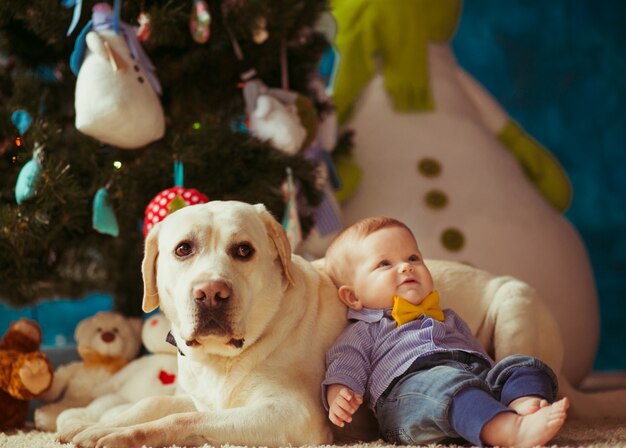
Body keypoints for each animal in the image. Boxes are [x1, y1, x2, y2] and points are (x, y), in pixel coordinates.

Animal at [70, 201, 348, 446]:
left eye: (244, 250)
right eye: (183, 249)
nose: (212, 294)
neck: (218, 360)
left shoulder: (294, 414)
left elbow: (181, 419)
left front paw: (121, 436)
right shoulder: (198, 398)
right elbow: (153, 402)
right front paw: (97, 427)